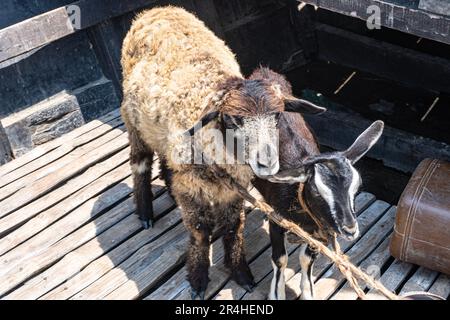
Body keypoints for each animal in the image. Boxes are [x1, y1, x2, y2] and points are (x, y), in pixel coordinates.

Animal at [119, 6, 326, 298]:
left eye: (277, 116)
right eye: (232, 120)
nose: (267, 162)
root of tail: (156, 10)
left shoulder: (234, 187)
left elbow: (233, 226)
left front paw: (240, 272)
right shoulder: (192, 187)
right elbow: (199, 231)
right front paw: (198, 279)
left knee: (166, 164)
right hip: (134, 123)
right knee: (140, 165)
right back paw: (146, 213)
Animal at [250, 68, 384, 300]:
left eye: (356, 189)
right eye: (317, 192)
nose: (350, 229)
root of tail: (264, 72)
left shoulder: (319, 228)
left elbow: (307, 259)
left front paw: (308, 293)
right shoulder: (277, 219)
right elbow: (280, 259)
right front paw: (277, 294)